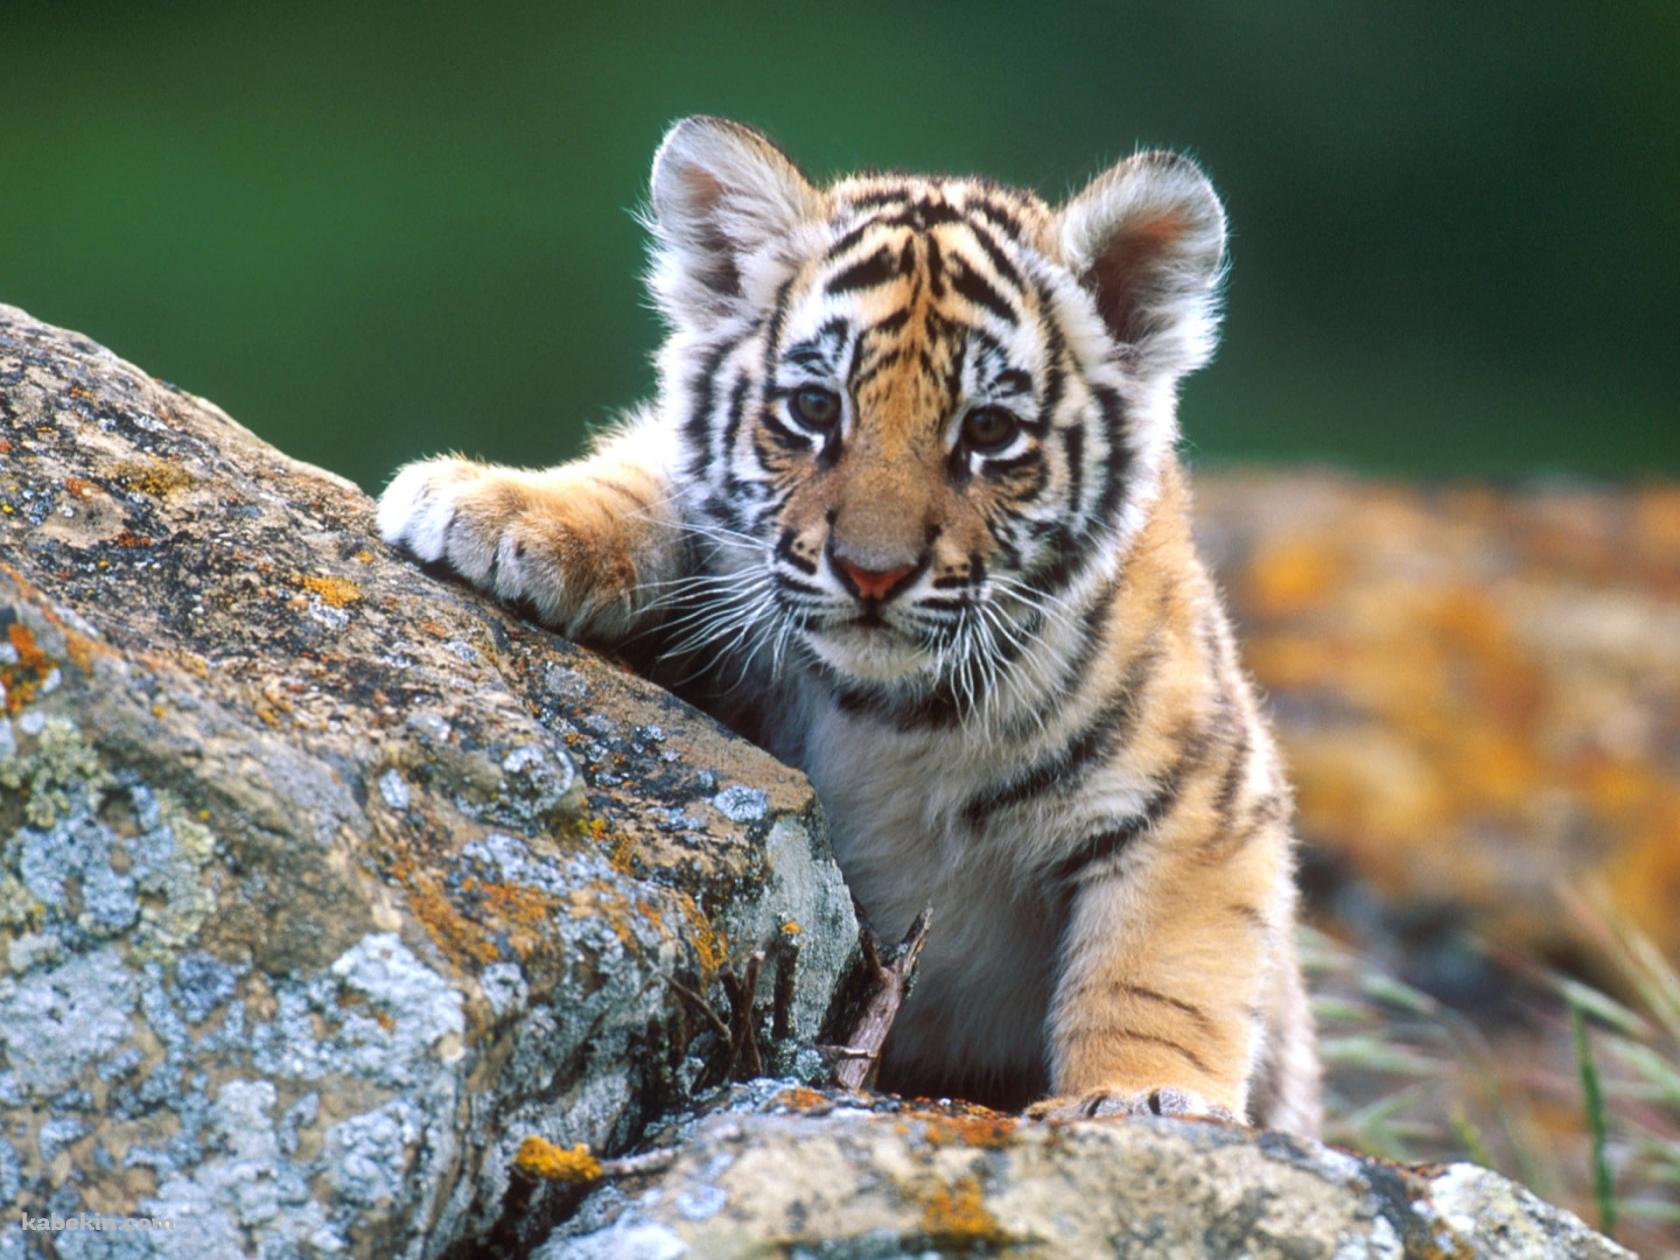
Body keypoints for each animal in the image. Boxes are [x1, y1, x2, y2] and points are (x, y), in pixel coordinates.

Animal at [377, 115, 1320, 1134]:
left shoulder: (1202, 800)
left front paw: (1140, 1099)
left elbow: (1157, 975)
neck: (891, 714)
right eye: (814, 408)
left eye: (989, 432)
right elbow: (645, 481)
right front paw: (491, 506)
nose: (873, 572)